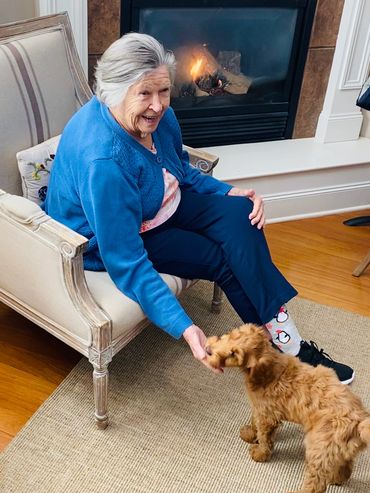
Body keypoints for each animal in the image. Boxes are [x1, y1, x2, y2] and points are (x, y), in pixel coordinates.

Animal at [207, 322, 368, 492]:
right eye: (230, 335)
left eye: (233, 354)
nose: (208, 351)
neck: (268, 368)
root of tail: (360, 422)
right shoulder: (261, 408)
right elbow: (254, 420)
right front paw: (250, 433)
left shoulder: (267, 416)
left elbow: (264, 437)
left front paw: (260, 453)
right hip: (337, 449)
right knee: (346, 466)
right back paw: (336, 478)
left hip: (318, 449)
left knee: (316, 484)